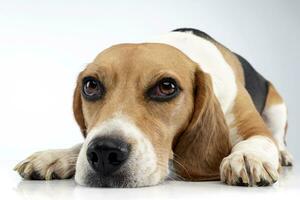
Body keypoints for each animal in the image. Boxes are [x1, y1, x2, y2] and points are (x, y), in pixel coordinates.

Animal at [14, 28, 292, 188]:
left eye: (167, 87)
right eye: (90, 85)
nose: (104, 152)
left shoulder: (253, 126)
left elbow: (258, 141)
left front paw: (247, 157)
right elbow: (81, 143)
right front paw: (56, 156)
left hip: (277, 105)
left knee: (277, 137)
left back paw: (282, 154)